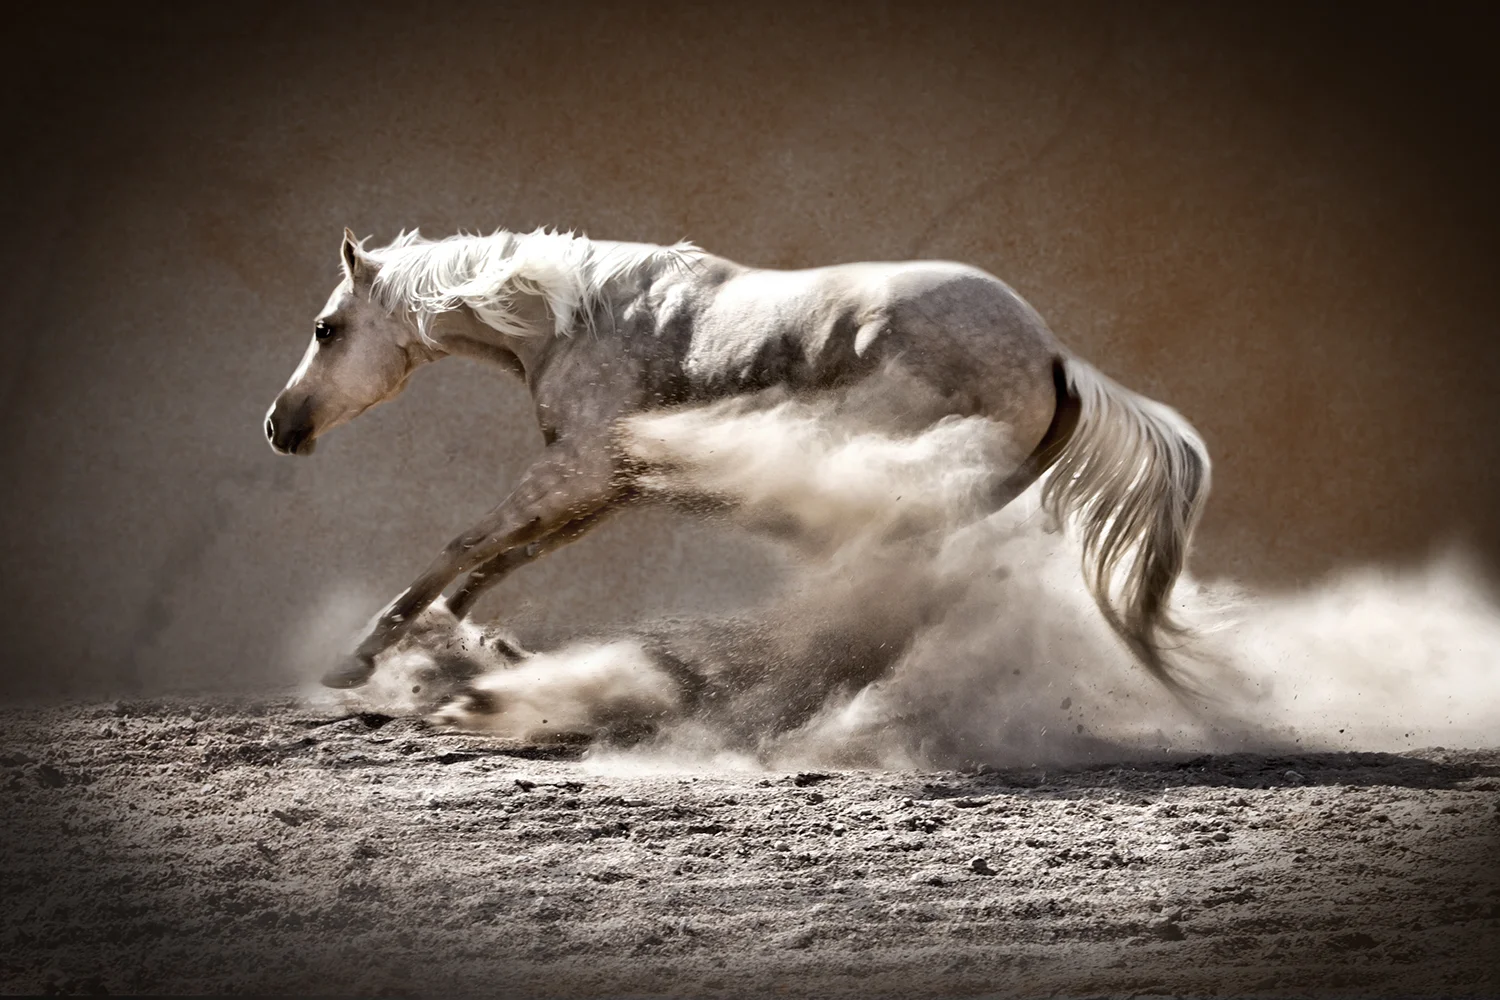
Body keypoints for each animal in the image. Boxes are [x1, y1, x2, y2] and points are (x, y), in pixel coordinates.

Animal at [265, 227, 1211, 694]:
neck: (579, 317)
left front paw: (362, 656)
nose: (279, 426)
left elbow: (465, 545)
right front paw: (465, 644)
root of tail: (1052, 355)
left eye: (326, 329)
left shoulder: (577, 471)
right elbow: (502, 559)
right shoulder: (604, 489)